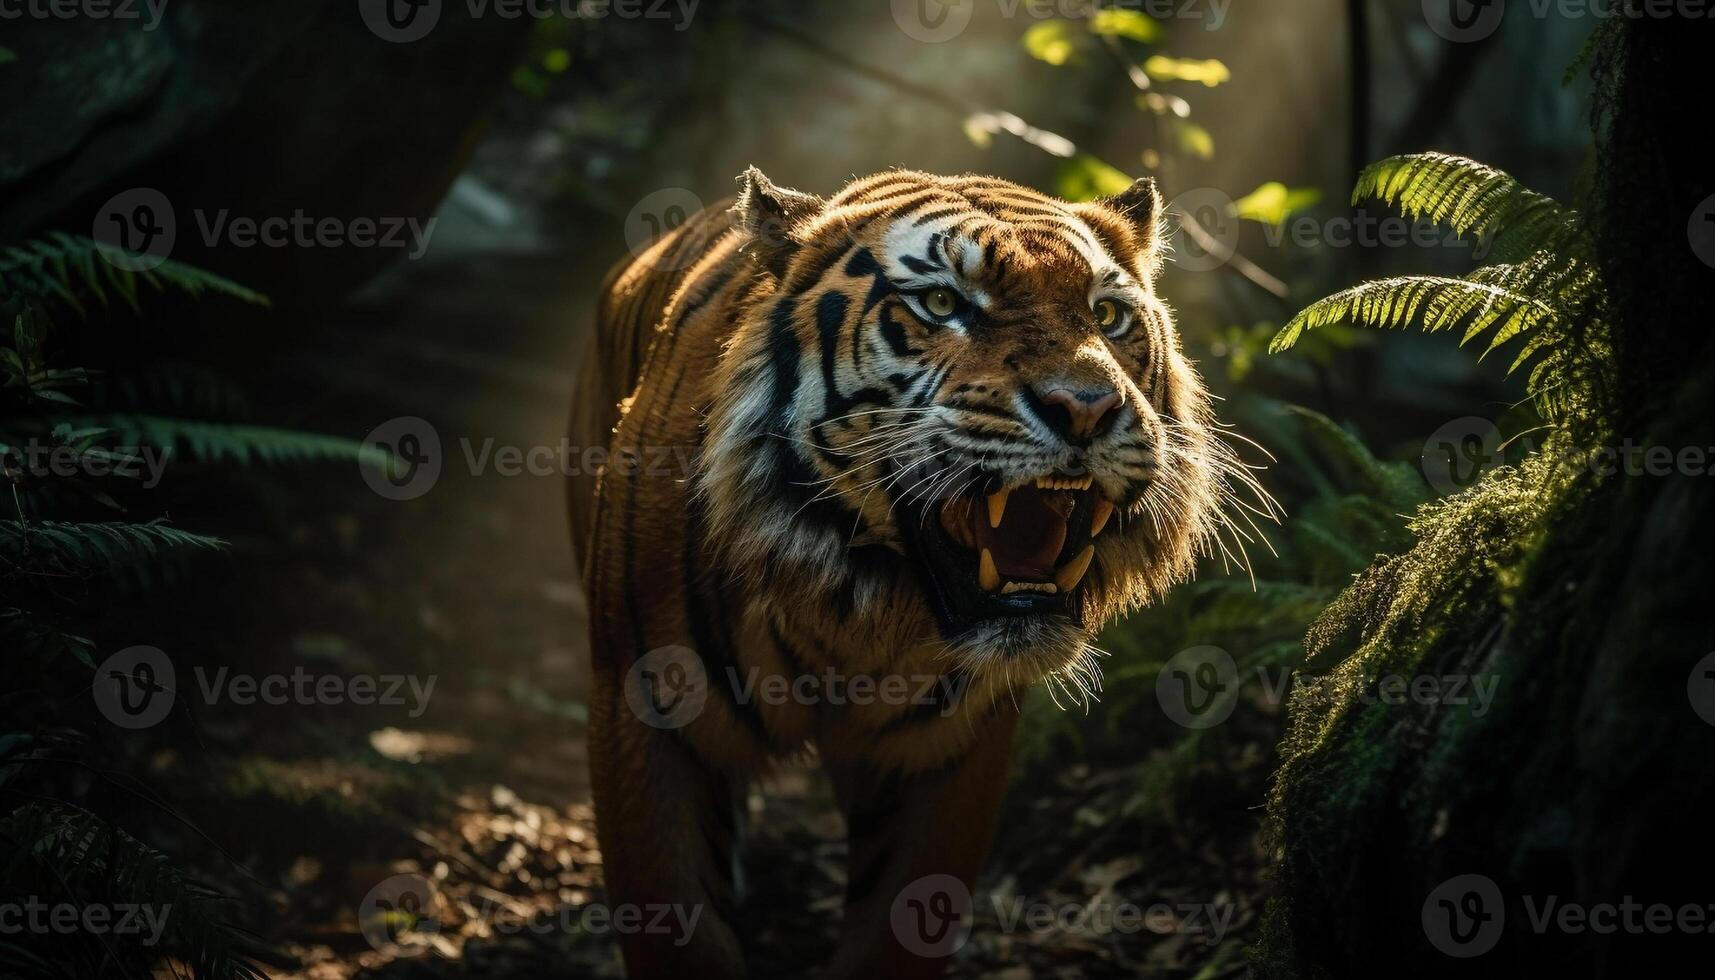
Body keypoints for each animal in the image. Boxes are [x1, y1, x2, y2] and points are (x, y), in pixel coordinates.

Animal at [569, 170, 1269, 980]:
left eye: (1106, 314)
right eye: (941, 304)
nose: (1088, 408)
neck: (849, 606)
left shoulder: (950, 752)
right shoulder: (643, 713)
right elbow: (676, 930)